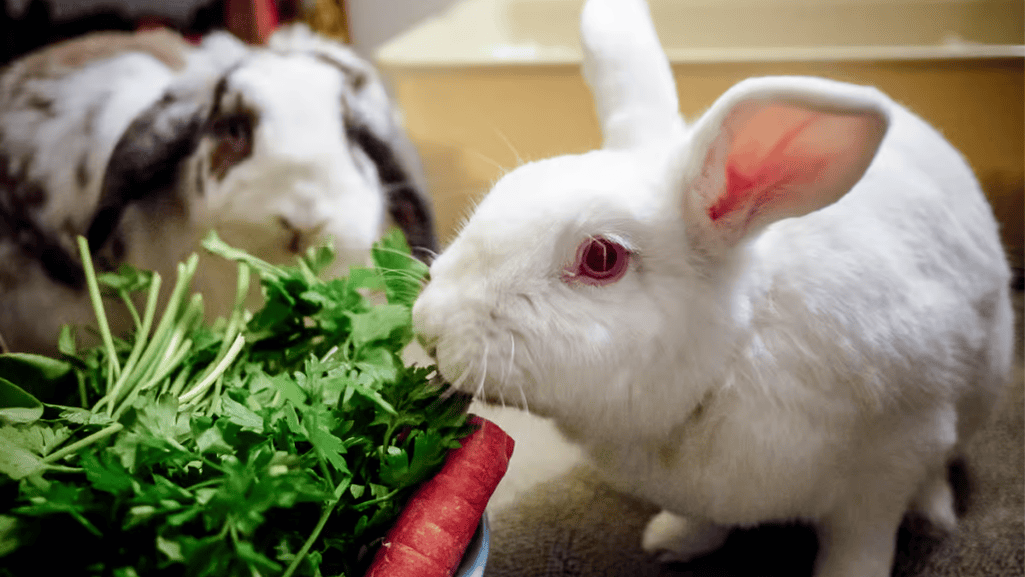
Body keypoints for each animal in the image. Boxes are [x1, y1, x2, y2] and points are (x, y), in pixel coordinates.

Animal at [411, 0, 1015, 575]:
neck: (733, 353)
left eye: (601, 258)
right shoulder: (707, 493)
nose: (429, 325)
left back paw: (935, 513)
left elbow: (859, 546)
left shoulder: (888, 463)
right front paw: (669, 543)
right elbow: (704, 520)